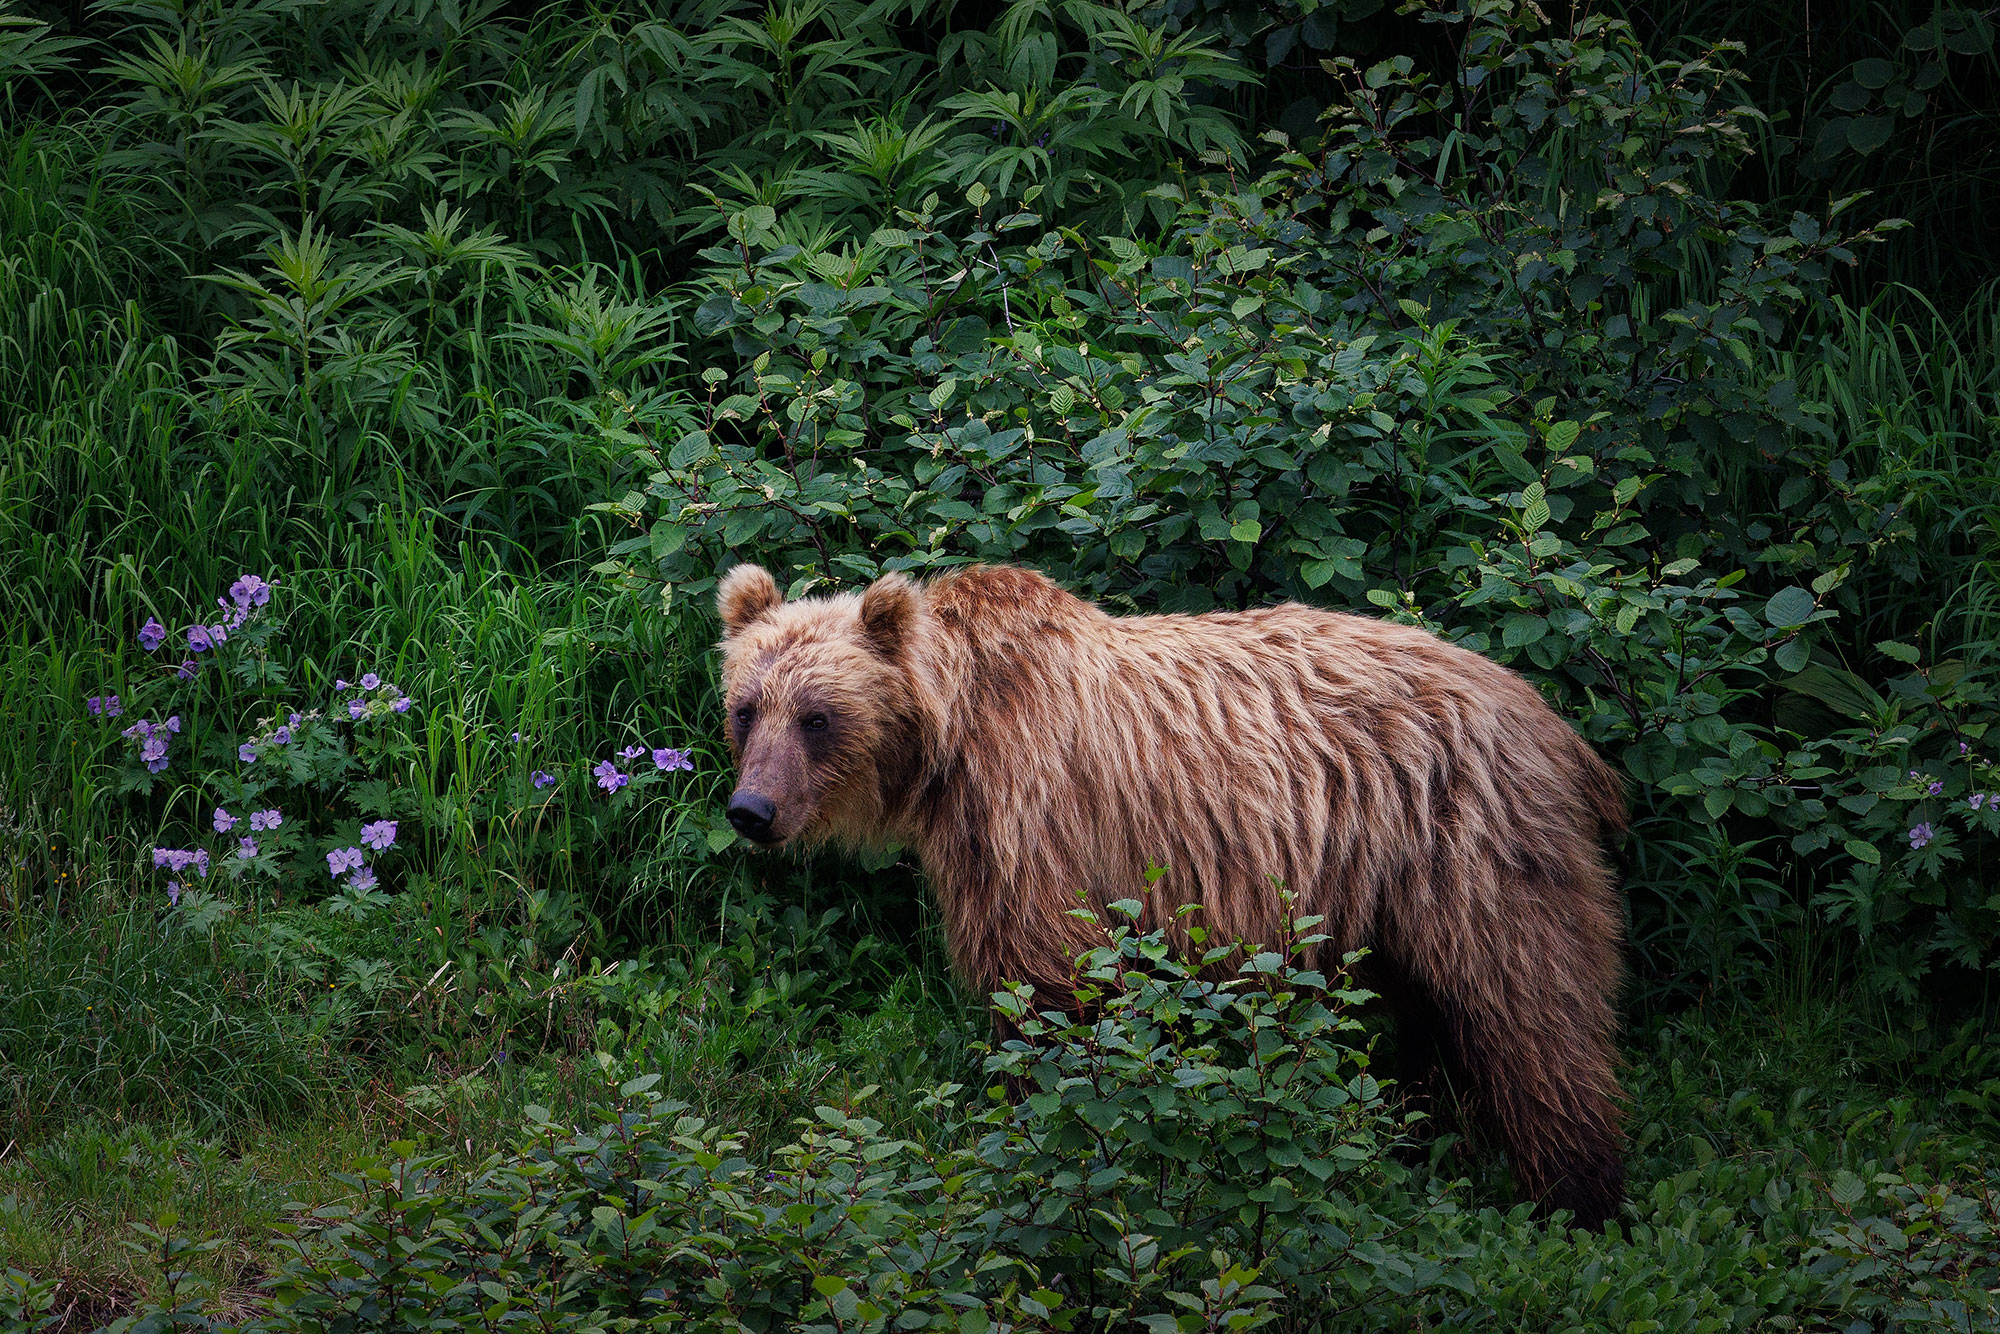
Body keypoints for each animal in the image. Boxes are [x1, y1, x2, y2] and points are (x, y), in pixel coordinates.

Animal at [716, 560, 1624, 1224]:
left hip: (1469, 850)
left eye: (819, 716)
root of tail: (1555, 724)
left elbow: (1044, 989)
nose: (752, 810)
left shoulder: (1035, 818)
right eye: (746, 708)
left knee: (1529, 1009)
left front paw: (1038, 1147)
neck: (953, 735)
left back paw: (1575, 1196)